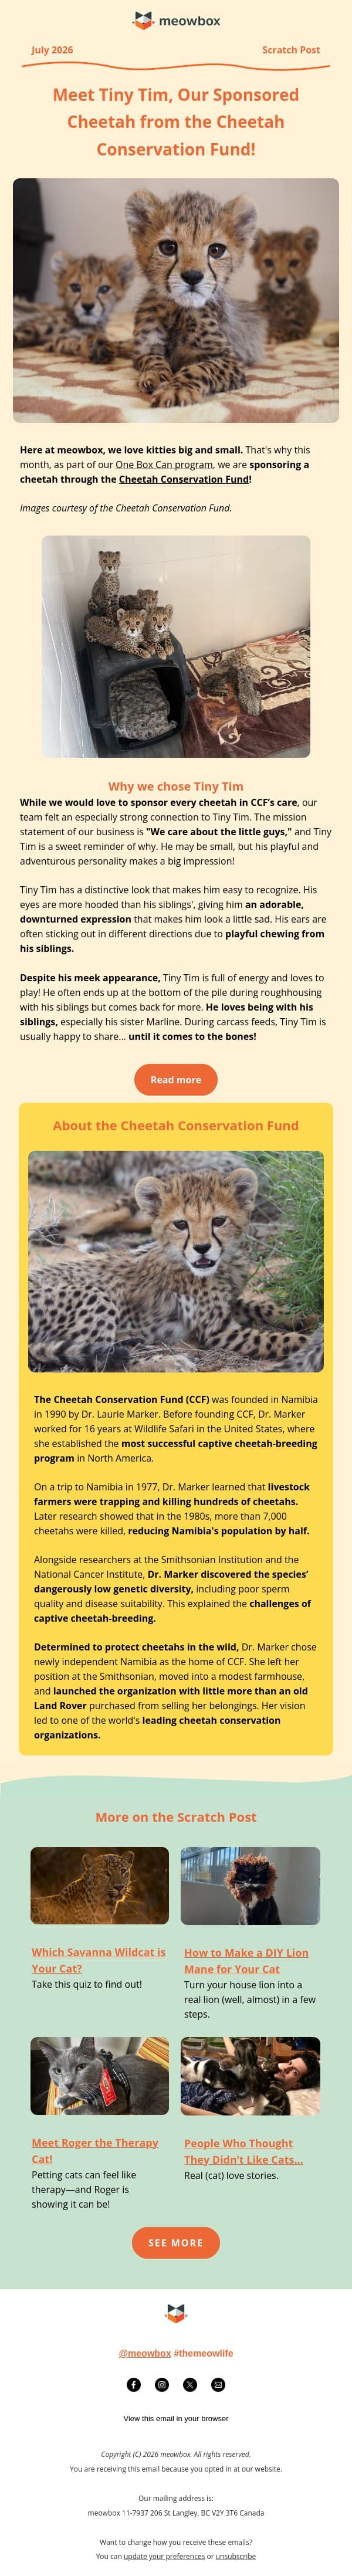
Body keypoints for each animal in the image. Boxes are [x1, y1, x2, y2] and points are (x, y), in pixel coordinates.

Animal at [13, 250, 133, 363]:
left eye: (104, 289)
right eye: (75, 287)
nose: (88, 306)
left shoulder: (52, 342)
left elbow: (69, 342)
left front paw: (98, 347)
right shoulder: (32, 329)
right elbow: (17, 336)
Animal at [28, 1155, 316, 1375]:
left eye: (219, 1221)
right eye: (181, 1224)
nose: (202, 1248)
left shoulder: (229, 1303)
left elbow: (260, 1305)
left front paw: (303, 1316)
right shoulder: (217, 1332)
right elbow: (278, 1339)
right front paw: (309, 1340)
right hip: (94, 1295)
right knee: (104, 1361)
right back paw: (170, 1361)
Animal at [125, 187, 266, 405]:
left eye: (216, 250)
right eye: (168, 247)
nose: (192, 277)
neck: (179, 311)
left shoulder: (231, 361)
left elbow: (201, 368)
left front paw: (176, 390)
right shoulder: (144, 348)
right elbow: (150, 357)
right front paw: (155, 375)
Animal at [251, 226, 320, 343]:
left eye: (294, 262)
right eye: (269, 262)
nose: (281, 280)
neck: (280, 298)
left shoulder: (300, 326)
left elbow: (281, 329)